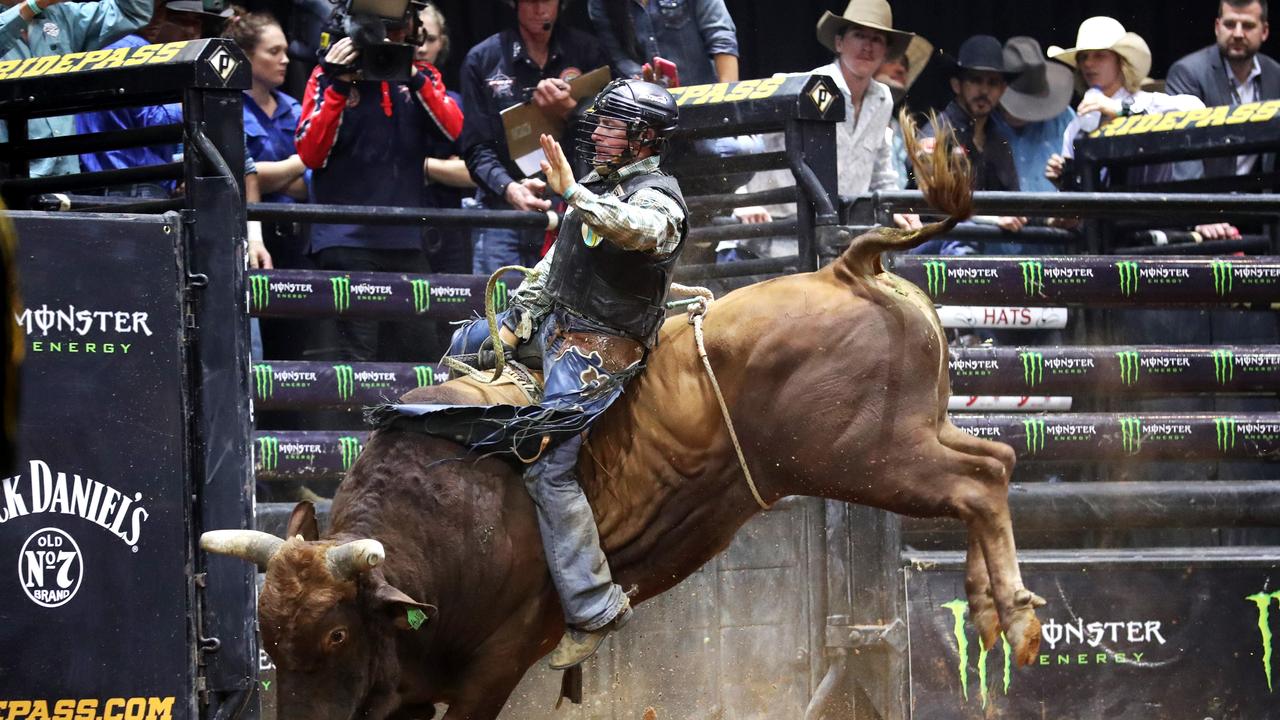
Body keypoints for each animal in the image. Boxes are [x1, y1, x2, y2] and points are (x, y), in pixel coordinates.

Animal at [199, 120, 1039, 712]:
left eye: (337, 631)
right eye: (271, 639)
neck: (440, 520)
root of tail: (847, 266)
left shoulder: (492, 666)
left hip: (869, 456)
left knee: (976, 484)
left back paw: (1020, 622)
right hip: (908, 437)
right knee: (993, 464)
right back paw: (991, 612)